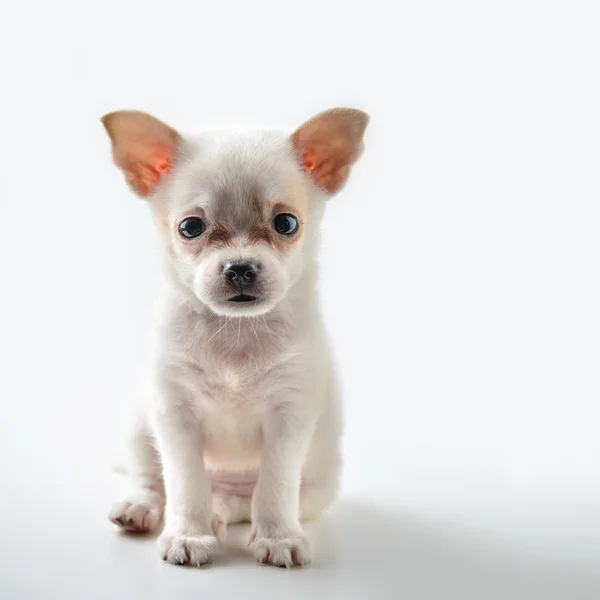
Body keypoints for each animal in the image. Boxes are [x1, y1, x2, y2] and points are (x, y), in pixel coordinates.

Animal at [101, 106, 368, 568]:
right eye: (191, 227)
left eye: (286, 223)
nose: (240, 267)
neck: (236, 333)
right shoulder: (174, 414)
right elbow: (185, 482)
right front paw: (187, 533)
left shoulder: (289, 417)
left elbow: (275, 485)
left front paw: (278, 537)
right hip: (139, 426)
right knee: (154, 480)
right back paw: (143, 508)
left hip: (317, 487)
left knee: (239, 503)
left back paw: (221, 516)